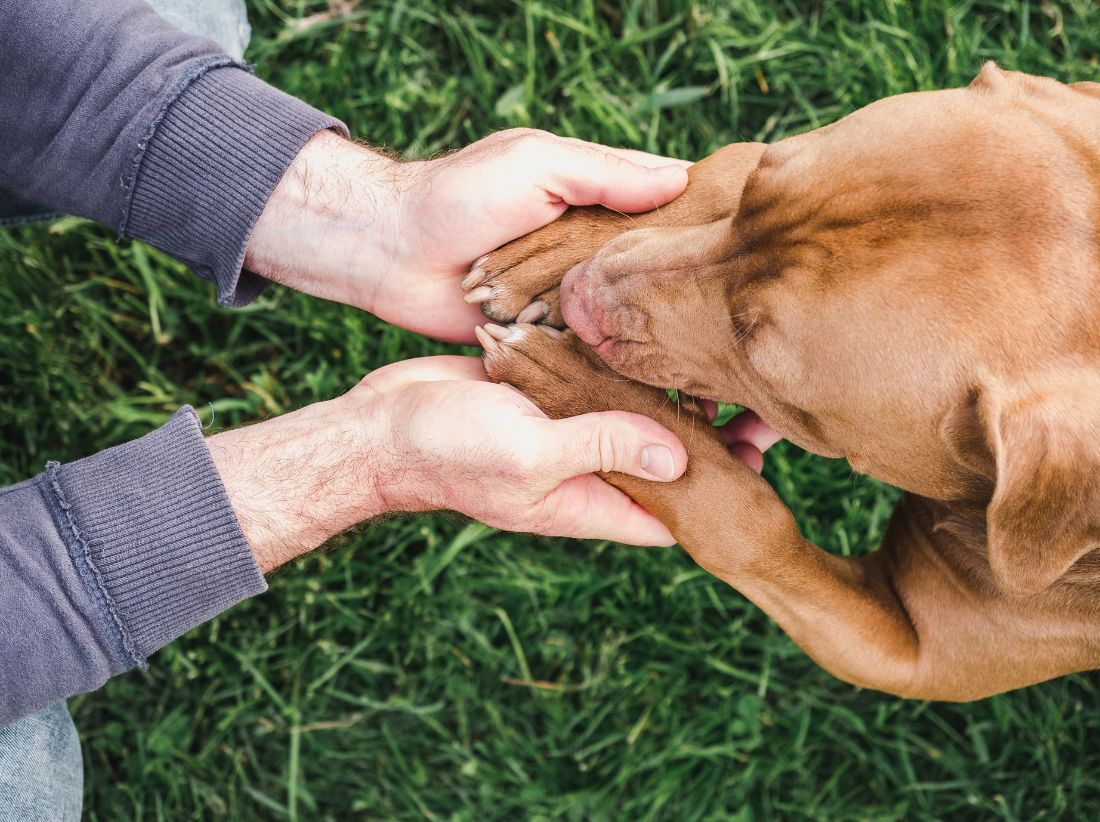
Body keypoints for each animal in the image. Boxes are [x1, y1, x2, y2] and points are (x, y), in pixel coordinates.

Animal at [466, 64, 1100, 699]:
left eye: (762, 366)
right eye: (753, 195)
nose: (578, 293)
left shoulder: (901, 653)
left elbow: (749, 524)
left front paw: (584, 390)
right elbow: (722, 168)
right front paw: (550, 258)